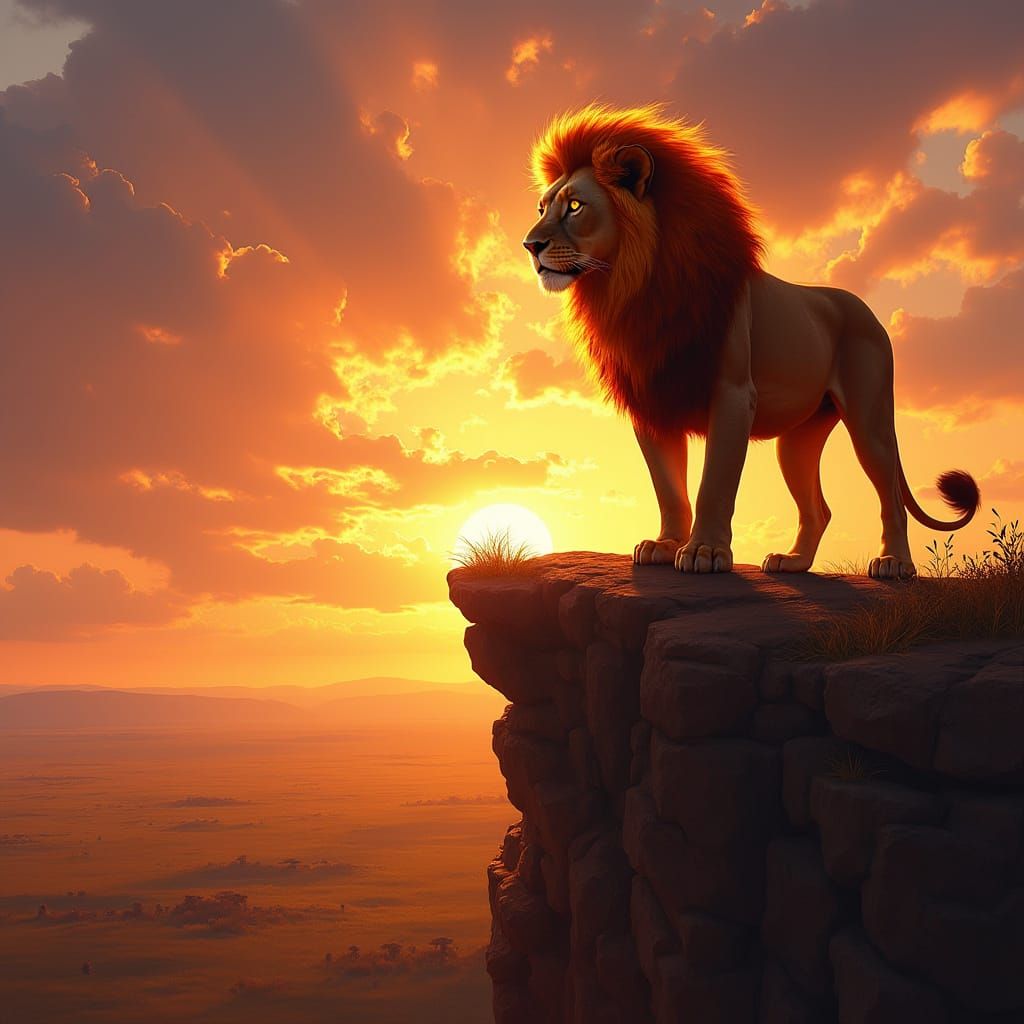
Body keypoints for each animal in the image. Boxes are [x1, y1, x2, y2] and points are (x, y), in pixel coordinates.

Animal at [523, 104, 979, 579]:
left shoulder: (733, 394)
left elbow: (714, 483)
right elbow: (669, 488)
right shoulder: (654, 400)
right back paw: (792, 562)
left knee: (890, 496)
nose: (529, 245)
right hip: (796, 441)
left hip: (869, 420)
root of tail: (865, 308)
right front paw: (665, 545)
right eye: (541, 207)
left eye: (575, 206)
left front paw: (705, 552)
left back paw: (894, 563)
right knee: (819, 508)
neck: (634, 288)